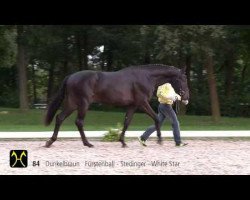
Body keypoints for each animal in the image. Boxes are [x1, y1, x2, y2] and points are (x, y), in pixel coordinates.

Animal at [45, 64, 189, 147]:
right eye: (183, 79)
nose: (186, 98)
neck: (146, 77)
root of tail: (70, 77)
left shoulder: (132, 106)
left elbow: (126, 122)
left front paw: (123, 142)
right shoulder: (142, 103)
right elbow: (156, 118)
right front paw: (159, 140)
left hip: (73, 103)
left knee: (60, 118)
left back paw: (50, 141)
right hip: (83, 103)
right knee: (79, 121)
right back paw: (87, 143)